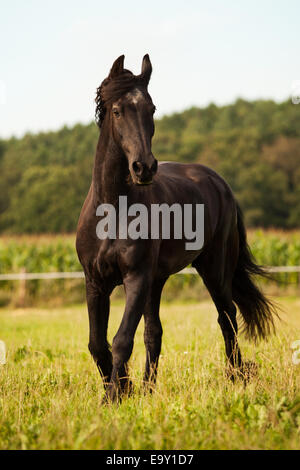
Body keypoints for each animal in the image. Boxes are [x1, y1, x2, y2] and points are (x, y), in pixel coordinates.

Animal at [75, 54, 276, 400]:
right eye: (117, 111)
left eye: (152, 109)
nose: (144, 167)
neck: (113, 210)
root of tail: (219, 182)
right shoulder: (95, 282)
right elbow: (97, 344)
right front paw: (121, 390)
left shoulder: (136, 278)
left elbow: (121, 339)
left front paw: (115, 396)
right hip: (157, 281)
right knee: (154, 332)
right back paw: (148, 388)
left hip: (213, 270)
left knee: (227, 318)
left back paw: (237, 375)